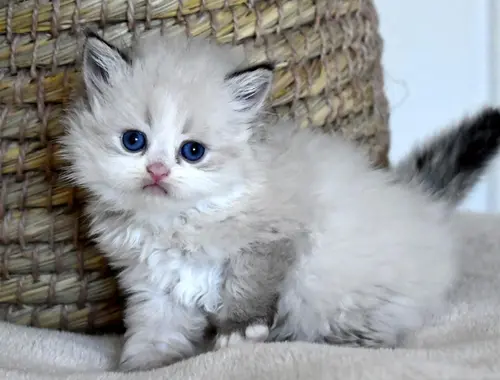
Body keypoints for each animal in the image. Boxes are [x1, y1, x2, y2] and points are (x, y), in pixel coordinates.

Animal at [60, 30, 500, 372]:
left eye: (192, 151)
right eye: (134, 141)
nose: (157, 171)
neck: (176, 223)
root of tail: (421, 203)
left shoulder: (273, 238)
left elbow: (248, 285)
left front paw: (239, 331)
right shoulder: (153, 283)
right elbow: (154, 332)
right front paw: (145, 366)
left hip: (354, 301)